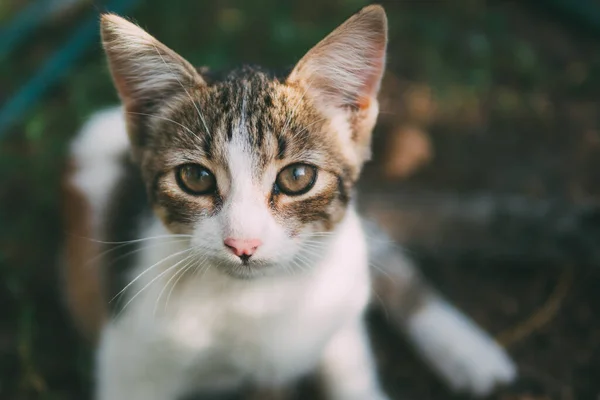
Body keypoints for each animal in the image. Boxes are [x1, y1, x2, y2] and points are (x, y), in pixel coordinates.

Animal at [63, 3, 516, 400]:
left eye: (297, 178)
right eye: (194, 178)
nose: (242, 244)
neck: (259, 300)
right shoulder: (131, 358)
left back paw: (468, 351)